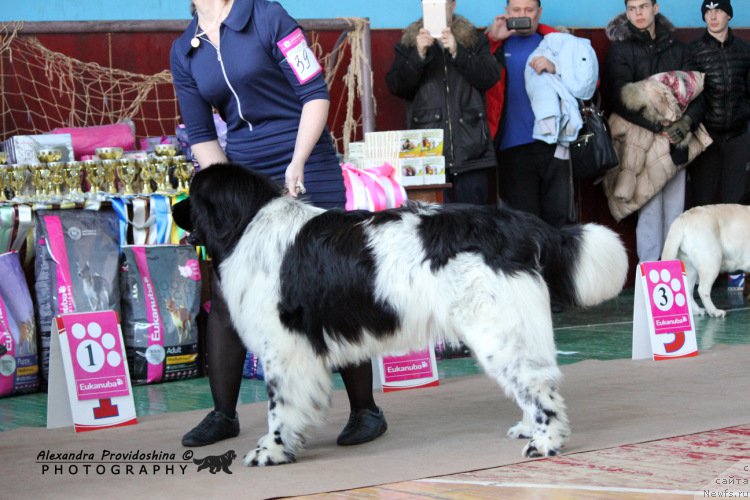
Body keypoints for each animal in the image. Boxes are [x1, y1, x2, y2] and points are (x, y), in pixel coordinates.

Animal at [173, 164, 632, 464]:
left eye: (193, 194)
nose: (174, 208)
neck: (248, 223)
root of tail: (516, 223)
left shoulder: (285, 350)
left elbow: (280, 408)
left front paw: (271, 450)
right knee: (533, 380)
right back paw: (529, 428)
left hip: (497, 328)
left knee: (538, 388)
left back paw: (545, 442)